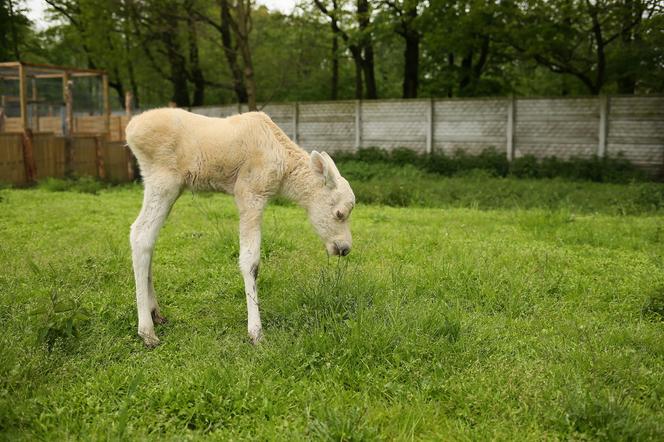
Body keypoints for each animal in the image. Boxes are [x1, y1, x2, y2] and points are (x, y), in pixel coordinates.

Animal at [124, 109, 352, 348]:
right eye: (339, 213)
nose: (345, 248)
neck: (283, 170)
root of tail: (130, 130)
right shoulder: (250, 192)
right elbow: (250, 262)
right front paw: (256, 331)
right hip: (163, 181)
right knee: (140, 234)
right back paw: (146, 331)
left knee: (149, 239)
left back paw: (155, 313)